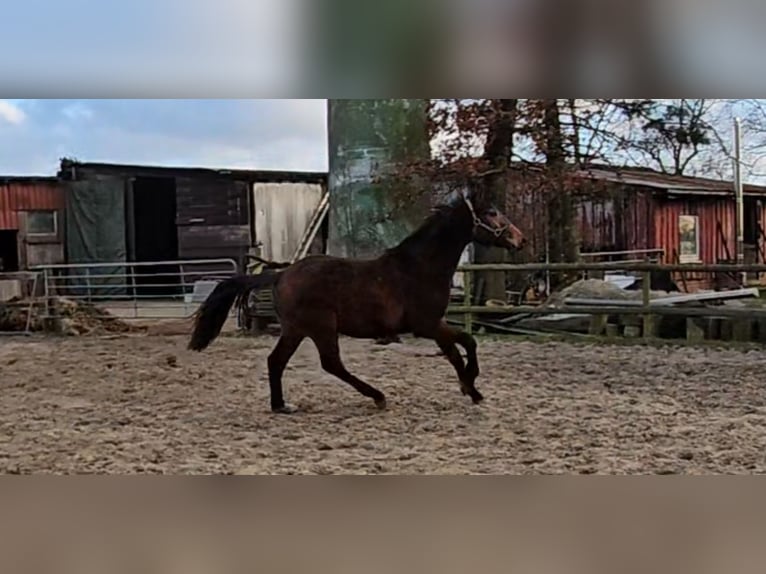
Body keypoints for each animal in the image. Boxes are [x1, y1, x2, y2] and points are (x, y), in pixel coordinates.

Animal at [188, 191, 524, 416]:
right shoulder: (427, 325)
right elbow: (463, 346)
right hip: (321, 327)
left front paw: (469, 388)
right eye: (492, 212)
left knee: (276, 361)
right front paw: (473, 389)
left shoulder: (434, 325)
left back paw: (282, 405)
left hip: (296, 330)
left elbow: (459, 349)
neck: (419, 268)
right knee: (331, 363)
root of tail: (282, 273)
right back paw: (377, 396)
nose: (519, 238)